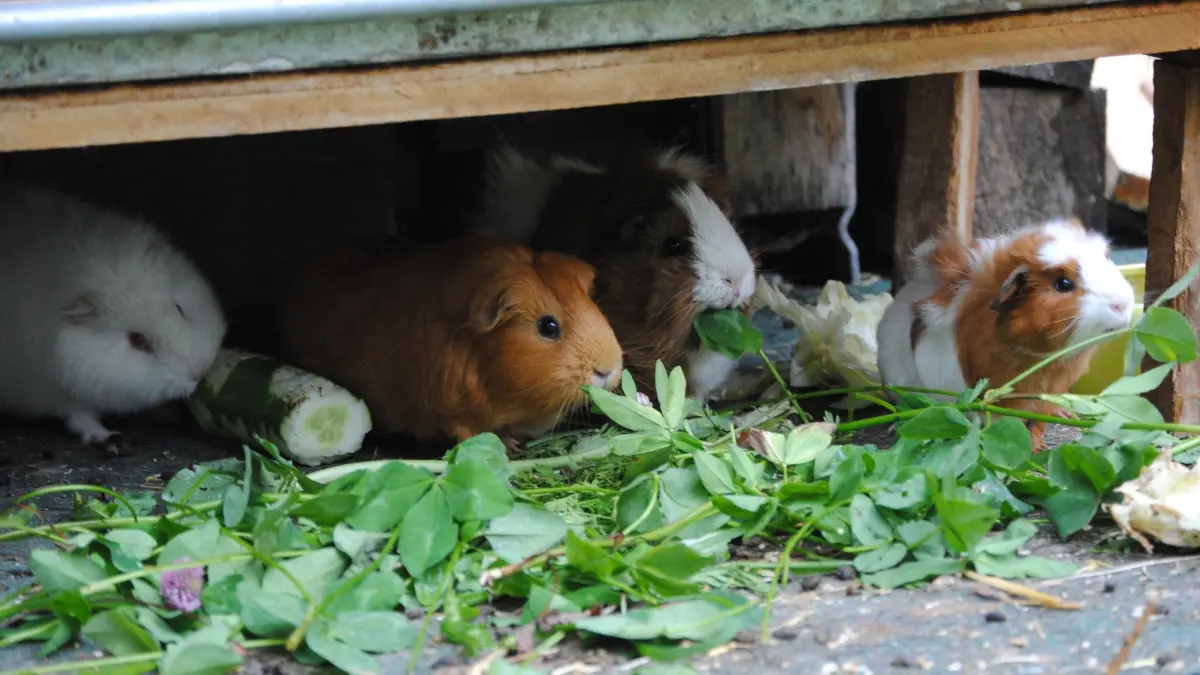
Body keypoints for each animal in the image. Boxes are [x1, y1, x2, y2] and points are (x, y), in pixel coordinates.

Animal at [0, 183, 227, 444]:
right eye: (138, 340)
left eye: (179, 309)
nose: (200, 370)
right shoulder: (61, 396)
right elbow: (81, 416)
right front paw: (106, 435)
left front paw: (168, 413)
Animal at [279, 234, 624, 451]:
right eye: (548, 326)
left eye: (591, 304)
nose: (608, 370)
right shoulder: (449, 410)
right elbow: (465, 429)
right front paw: (507, 446)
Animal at [877, 218, 1136, 449]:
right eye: (1063, 283)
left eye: (1105, 260)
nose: (1123, 305)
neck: (1041, 362)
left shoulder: (1049, 392)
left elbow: (1038, 423)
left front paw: (1040, 443)